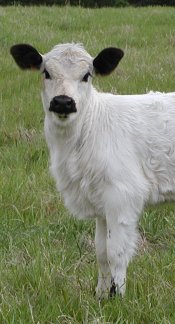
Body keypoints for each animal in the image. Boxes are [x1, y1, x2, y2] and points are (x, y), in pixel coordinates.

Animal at [10, 43, 175, 298]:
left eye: (86, 75)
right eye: (46, 72)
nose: (63, 102)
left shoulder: (121, 195)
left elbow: (116, 252)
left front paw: (118, 297)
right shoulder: (100, 204)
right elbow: (101, 252)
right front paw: (100, 295)